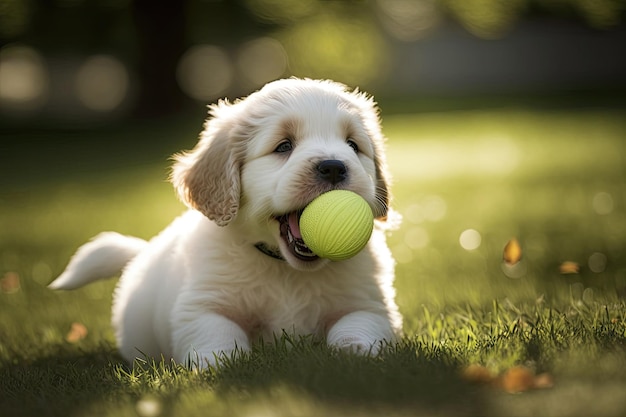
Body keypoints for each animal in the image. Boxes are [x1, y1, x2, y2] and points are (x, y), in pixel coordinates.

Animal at [50, 78, 400, 368]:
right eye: (284, 146)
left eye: (353, 145)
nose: (334, 167)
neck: (287, 271)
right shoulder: (202, 305)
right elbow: (217, 333)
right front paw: (217, 363)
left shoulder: (369, 303)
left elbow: (356, 325)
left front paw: (356, 352)